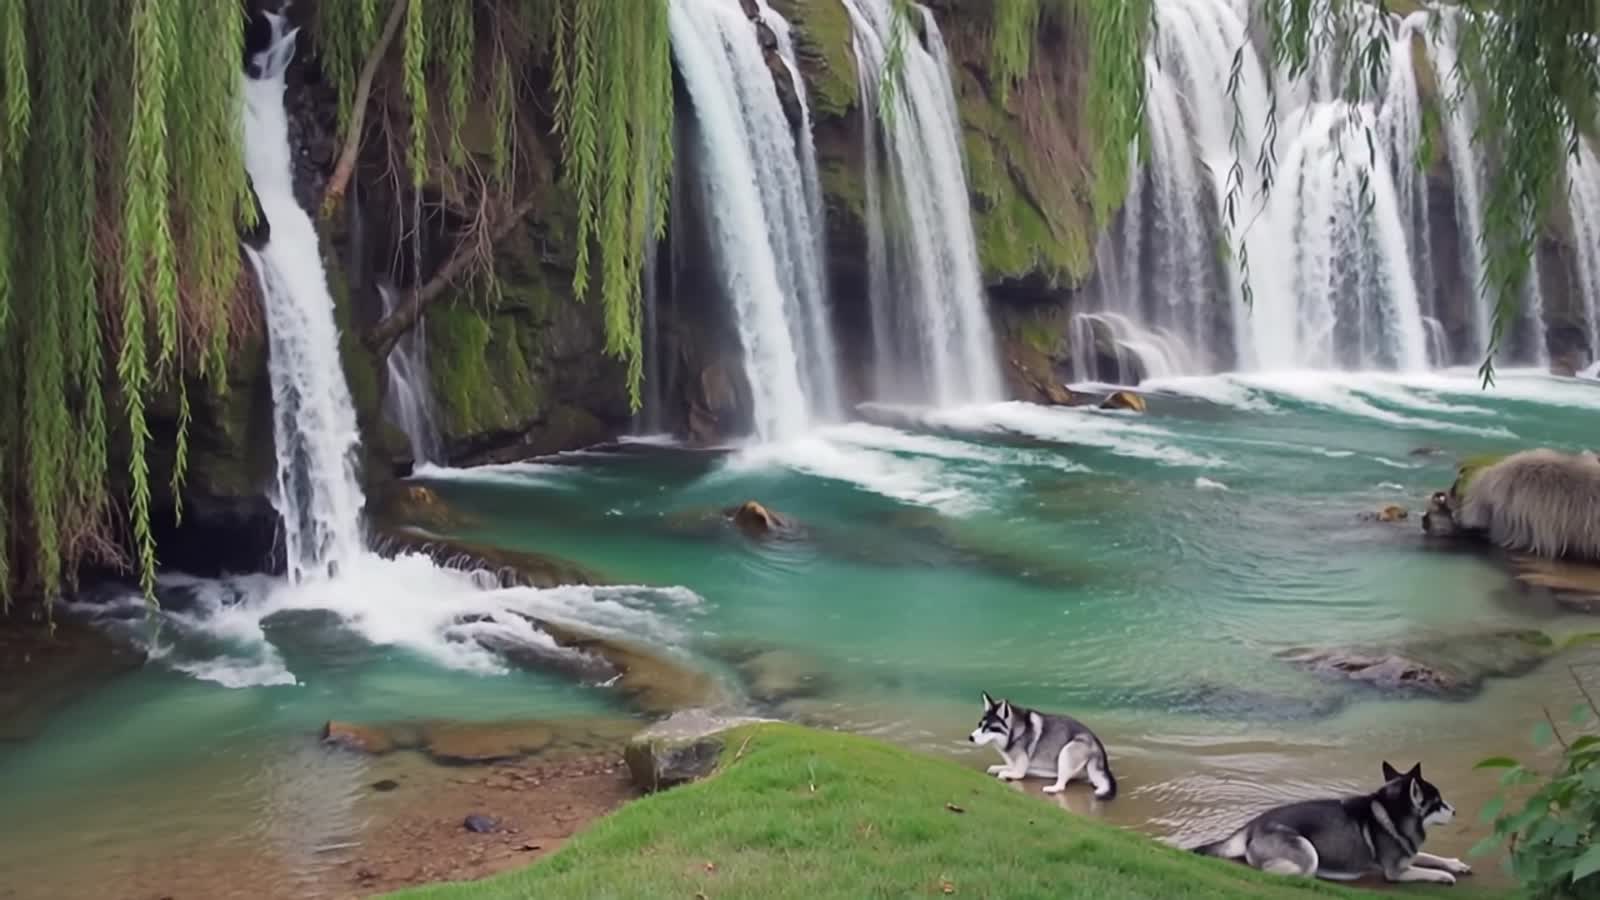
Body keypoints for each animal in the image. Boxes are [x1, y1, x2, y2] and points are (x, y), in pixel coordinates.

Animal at [968, 693, 1117, 799]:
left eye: (990, 728)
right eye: (980, 725)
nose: (970, 737)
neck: (1015, 731)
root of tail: (1097, 743)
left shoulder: (1020, 769)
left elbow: (1013, 773)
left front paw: (1005, 774)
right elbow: (998, 767)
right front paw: (997, 768)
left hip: (1068, 750)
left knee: (1062, 784)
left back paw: (1052, 788)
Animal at [1191, 762, 1472, 885]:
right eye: (1438, 802)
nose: (1456, 811)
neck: (1392, 813)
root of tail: (1252, 824)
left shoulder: (1408, 852)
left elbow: (1431, 856)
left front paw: (1455, 864)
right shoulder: (1395, 872)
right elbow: (1425, 869)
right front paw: (1444, 875)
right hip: (1307, 852)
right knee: (1277, 872)